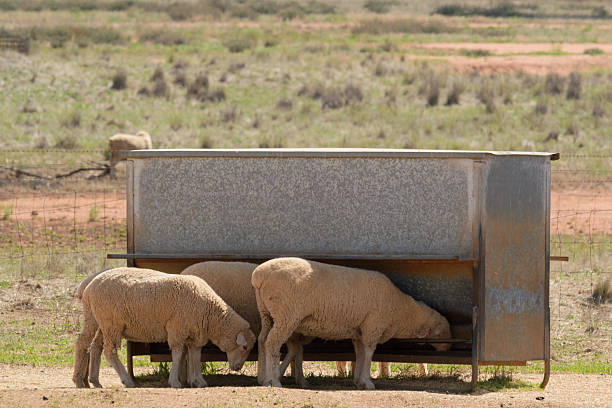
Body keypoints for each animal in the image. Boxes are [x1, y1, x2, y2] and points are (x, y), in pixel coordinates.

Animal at [73, 268, 256, 388]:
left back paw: (89, 381)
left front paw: (198, 381)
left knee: (89, 344)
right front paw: (175, 381)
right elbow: (178, 354)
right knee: (109, 351)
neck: (209, 311)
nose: (238, 368)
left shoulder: (195, 334)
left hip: (97, 320)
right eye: (244, 347)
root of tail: (89, 286)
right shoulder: (176, 329)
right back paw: (126, 380)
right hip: (111, 323)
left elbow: (195, 355)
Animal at [252, 258, 450, 388]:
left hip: (267, 313)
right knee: (272, 343)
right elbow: (369, 353)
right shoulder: (373, 325)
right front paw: (368, 382)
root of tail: (259, 275)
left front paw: (358, 380)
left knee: (262, 340)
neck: (400, 309)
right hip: (287, 314)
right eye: (441, 332)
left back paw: (263, 379)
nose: (448, 348)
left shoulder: (359, 330)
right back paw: (274, 381)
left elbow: (360, 353)